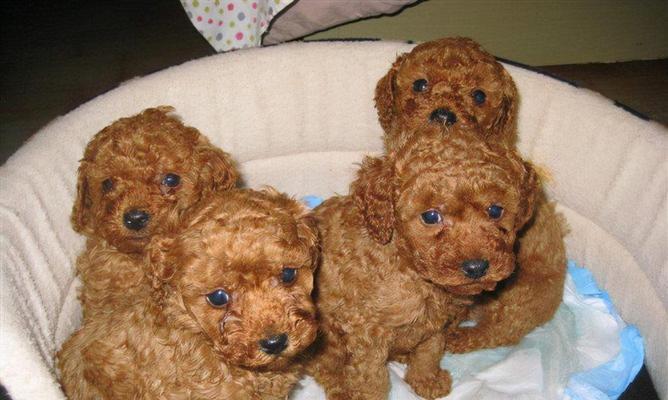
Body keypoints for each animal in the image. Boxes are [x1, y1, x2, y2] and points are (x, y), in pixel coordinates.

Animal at [308, 126, 544, 398]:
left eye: (495, 210)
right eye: (431, 216)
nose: (476, 267)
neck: (409, 265)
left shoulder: (438, 321)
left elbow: (429, 351)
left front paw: (426, 379)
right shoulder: (367, 330)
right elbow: (372, 377)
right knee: (325, 366)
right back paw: (342, 388)